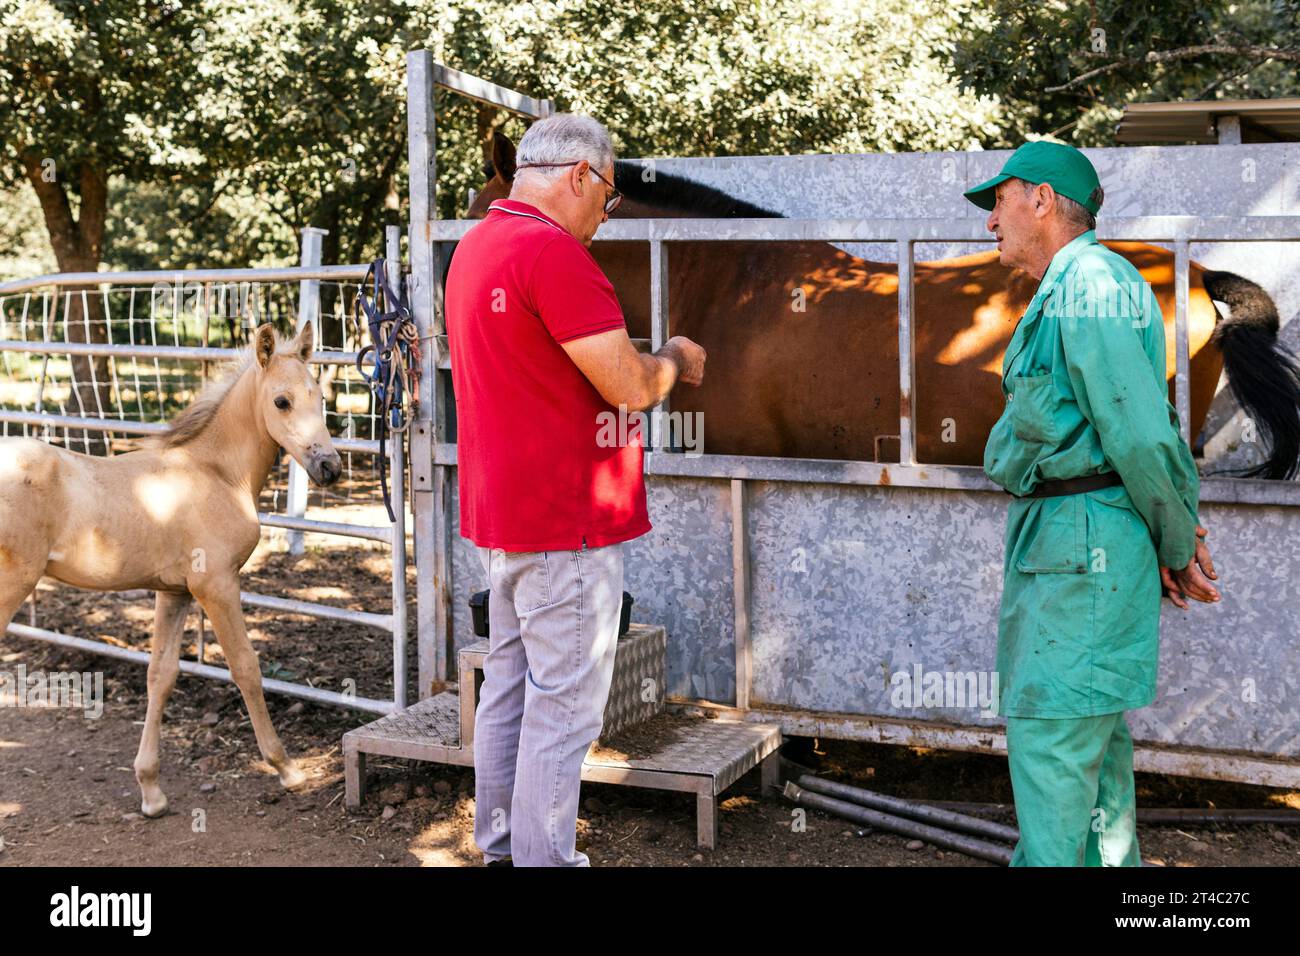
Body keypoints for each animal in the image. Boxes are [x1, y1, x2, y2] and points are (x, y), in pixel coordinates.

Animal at [0, 323, 343, 816]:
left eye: (319, 396)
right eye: (282, 401)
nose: (329, 467)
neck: (216, 472)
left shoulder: (175, 592)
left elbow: (160, 676)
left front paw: (151, 792)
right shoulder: (216, 585)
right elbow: (246, 667)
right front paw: (287, 769)